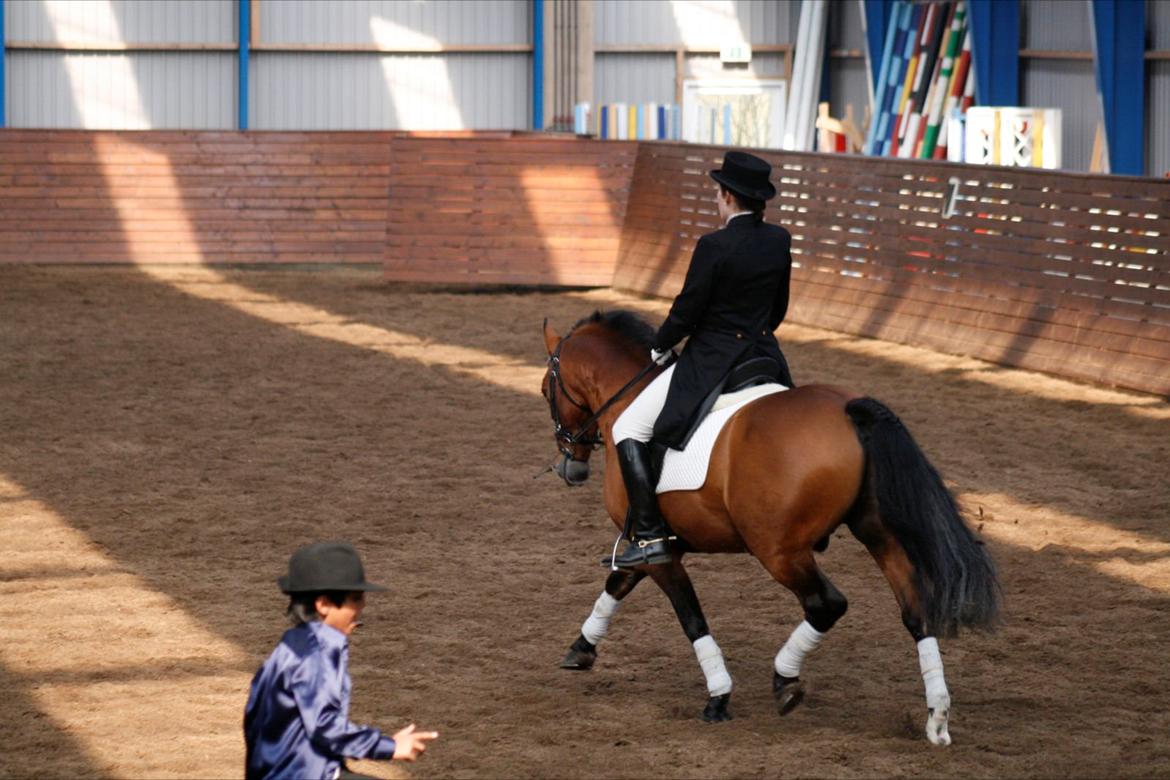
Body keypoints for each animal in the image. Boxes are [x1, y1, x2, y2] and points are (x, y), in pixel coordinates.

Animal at [538, 308, 996, 743]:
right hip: (876, 532)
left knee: (827, 604)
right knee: (916, 610)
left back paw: (785, 679)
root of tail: (848, 409)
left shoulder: (657, 550)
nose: (569, 466)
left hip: (778, 550)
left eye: (545, 390)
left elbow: (690, 616)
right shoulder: (655, 541)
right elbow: (618, 584)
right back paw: (937, 717)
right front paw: (580, 649)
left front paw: (719, 696)